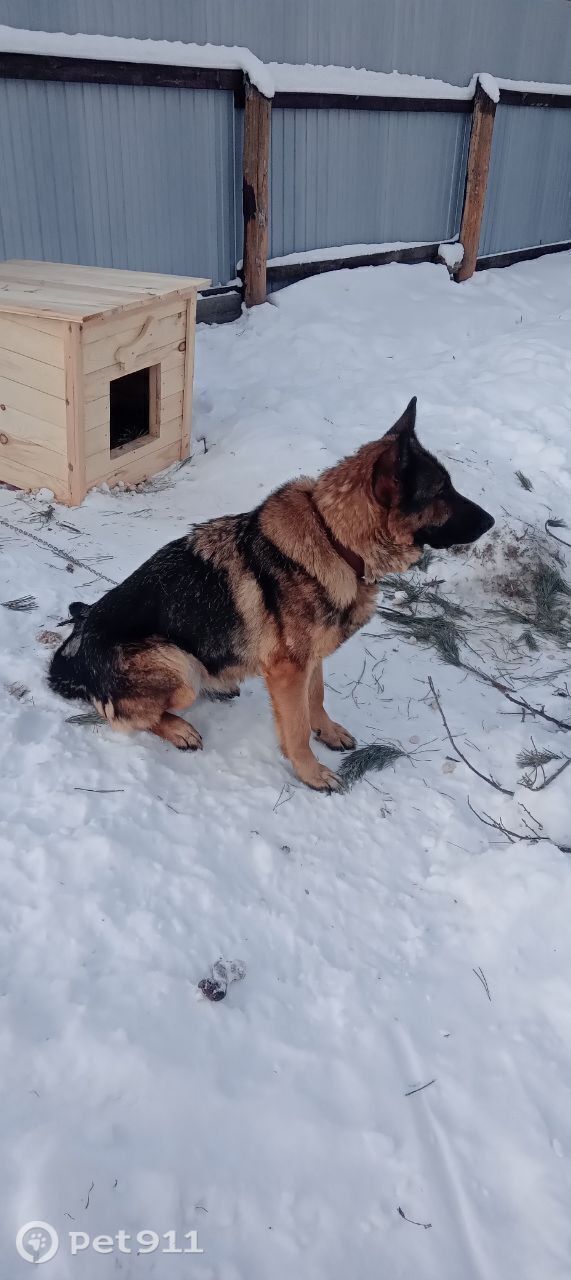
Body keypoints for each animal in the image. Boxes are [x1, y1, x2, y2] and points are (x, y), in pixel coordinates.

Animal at [49, 398, 493, 791]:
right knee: (123, 715)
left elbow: (316, 697)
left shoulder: (309, 659)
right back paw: (179, 729)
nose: (491, 521)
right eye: (442, 492)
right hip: (178, 664)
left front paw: (327, 731)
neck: (334, 539)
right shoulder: (287, 670)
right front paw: (311, 773)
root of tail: (78, 651)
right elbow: (295, 728)